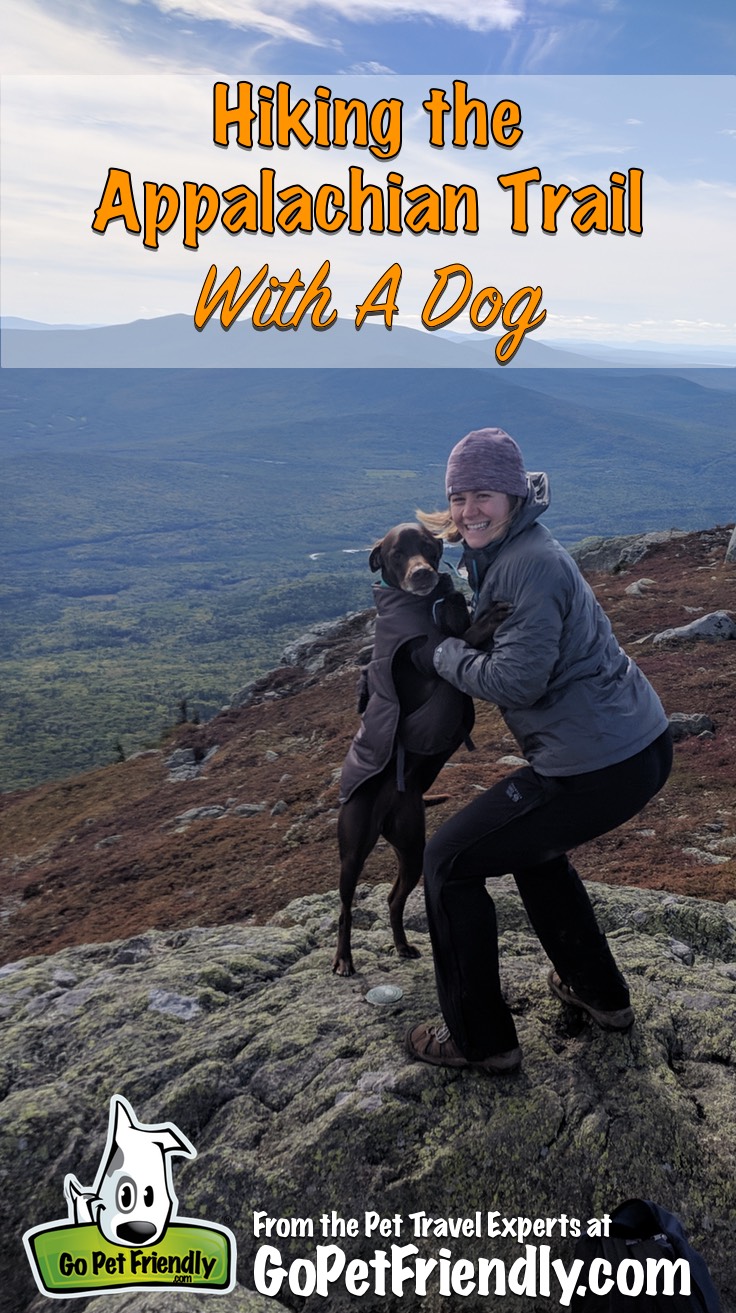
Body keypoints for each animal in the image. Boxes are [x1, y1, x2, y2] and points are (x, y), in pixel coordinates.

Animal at [333, 522, 503, 976]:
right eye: (396, 555)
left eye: (428, 547)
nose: (423, 574)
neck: (421, 606)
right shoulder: (431, 657)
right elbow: (464, 636)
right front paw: (488, 615)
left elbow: (462, 623)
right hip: (352, 851)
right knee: (345, 908)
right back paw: (343, 959)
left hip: (411, 847)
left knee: (395, 898)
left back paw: (403, 945)